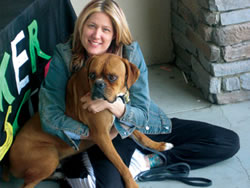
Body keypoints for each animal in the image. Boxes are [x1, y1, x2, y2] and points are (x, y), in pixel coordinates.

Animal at [8, 53, 172, 188]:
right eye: (92, 75)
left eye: (112, 77)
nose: (99, 84)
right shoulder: (102, 137)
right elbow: (120, 164)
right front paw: (131, 183)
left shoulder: (122, 121)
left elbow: (141, 135)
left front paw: (160, 145)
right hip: (49, 156)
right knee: (27, 184)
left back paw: (59, 175)